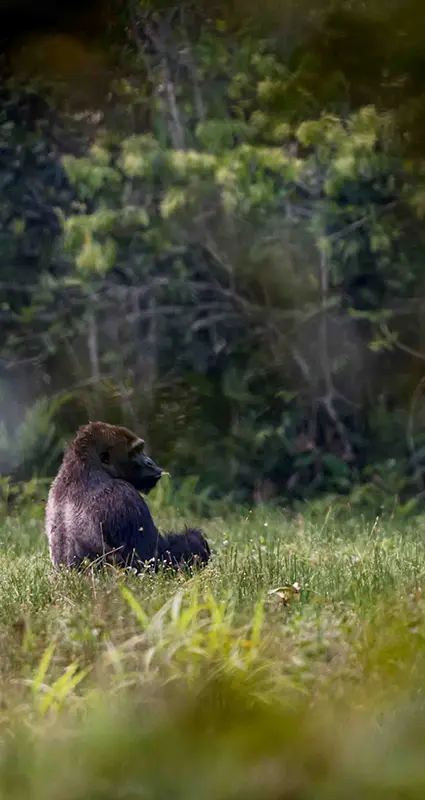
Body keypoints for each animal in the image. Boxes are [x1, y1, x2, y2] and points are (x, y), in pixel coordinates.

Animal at [45, 421, 211, 573]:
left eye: (140, 449)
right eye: (135, 452)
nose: (150, 462)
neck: (84, 468)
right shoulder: (123, 494)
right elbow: (154, 560)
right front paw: (196, 539)